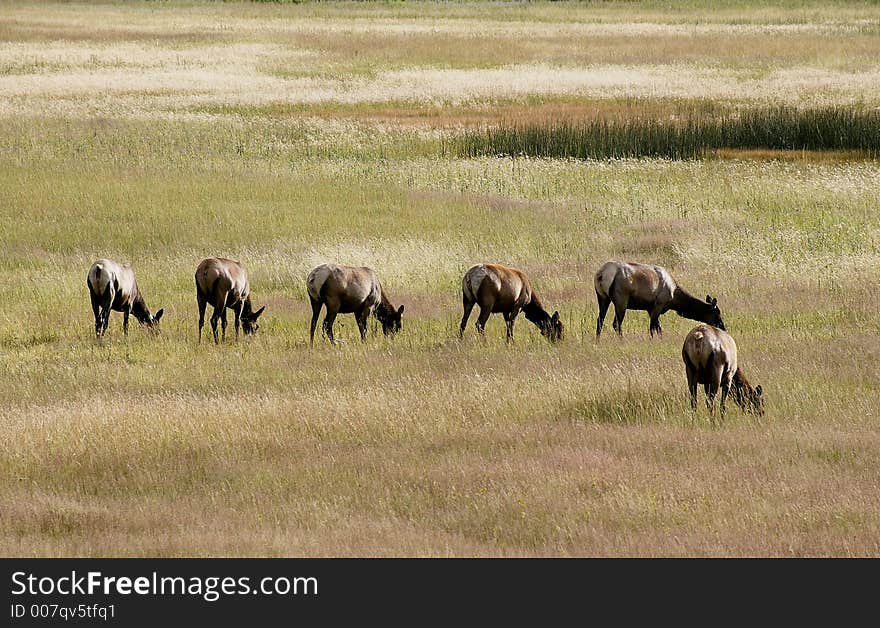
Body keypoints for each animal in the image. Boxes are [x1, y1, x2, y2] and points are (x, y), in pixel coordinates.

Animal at [596, 258, 724, 338]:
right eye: (717, 314)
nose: (723, 327)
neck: (675, 298)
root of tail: (601, 274)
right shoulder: (659, 304)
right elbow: (653, 328)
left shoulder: (650, 308)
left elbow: (659, 328)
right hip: (621, 300)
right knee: (616, 324)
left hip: (603, 298)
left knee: (600, 320)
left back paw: (597, 341)